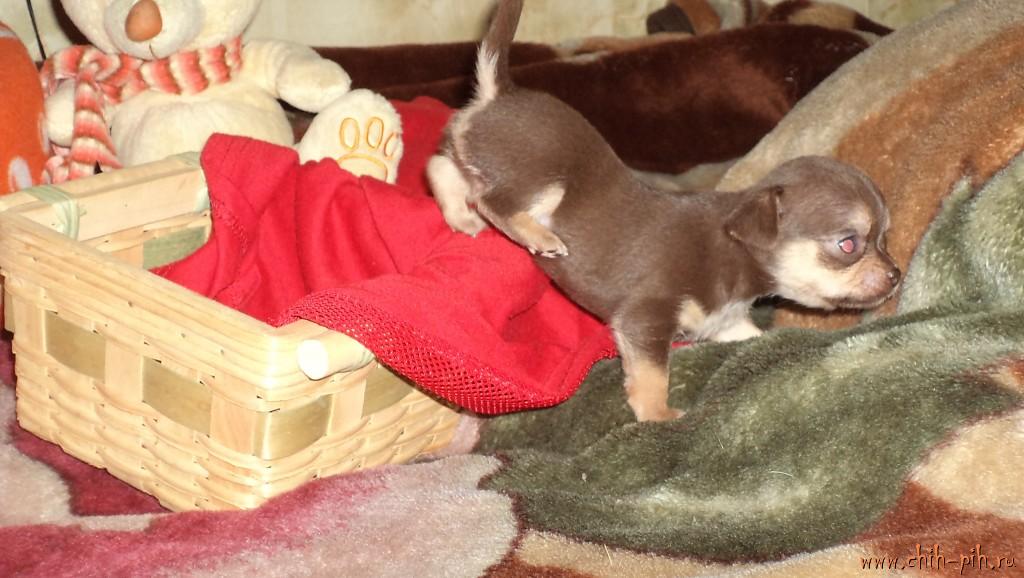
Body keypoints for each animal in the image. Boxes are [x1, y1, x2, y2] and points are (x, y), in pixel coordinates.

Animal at [427, 0, 901, 422]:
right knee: (495, 202)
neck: (734, 253)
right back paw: (537, 235)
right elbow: (654, 376)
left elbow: (752, 335)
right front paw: (658, 415)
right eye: (848, 244)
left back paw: (459, 217)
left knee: (442, 168)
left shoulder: (723, 323)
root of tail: (501, 93)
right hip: (550, 177)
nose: (897, 275)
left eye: (884, 238)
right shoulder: (645, 320)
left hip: (477, 159)